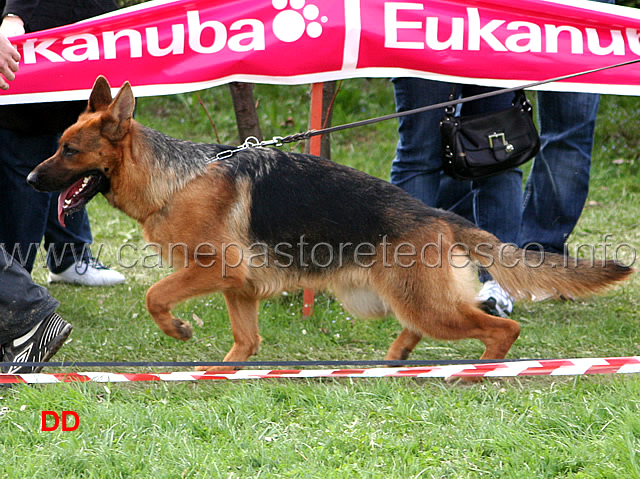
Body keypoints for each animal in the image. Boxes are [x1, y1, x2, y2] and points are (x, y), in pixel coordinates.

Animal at [30, 77, 632, 374]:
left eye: (69, 151)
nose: (33, 178)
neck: (174, 178)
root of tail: (437, 214)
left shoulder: (214, 273)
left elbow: (154, 295)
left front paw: (177, 330)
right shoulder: (240, 289)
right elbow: (245, 343)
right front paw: (220, 374)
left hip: (422, 304)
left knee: (502, 330)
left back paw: (478, 372)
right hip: (399, 300)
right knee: (433, 326)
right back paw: (395, 363)